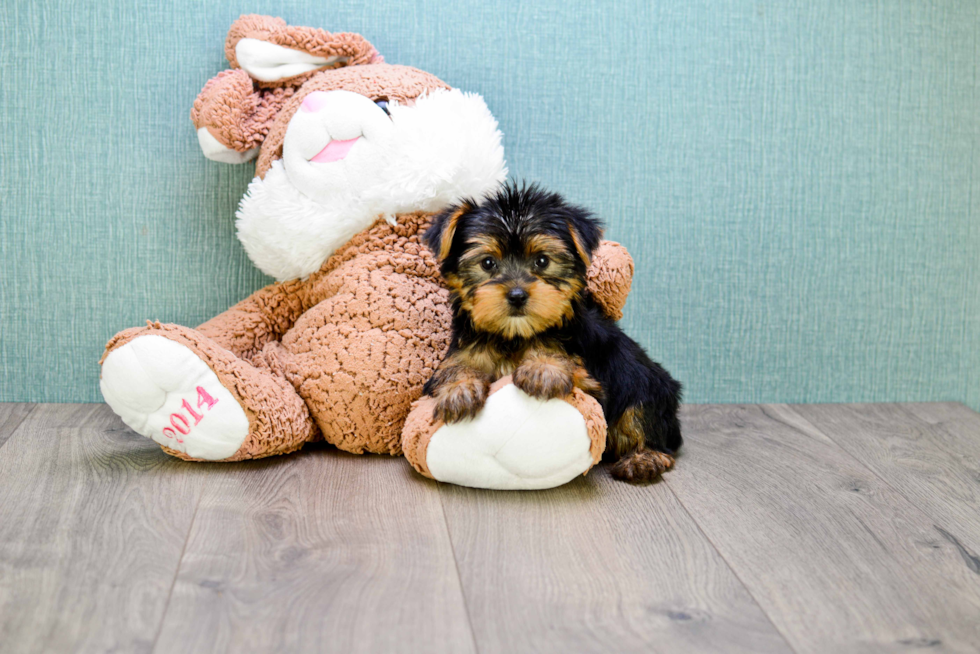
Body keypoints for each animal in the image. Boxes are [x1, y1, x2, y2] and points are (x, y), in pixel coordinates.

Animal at [422, 182, 680, 484]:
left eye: (542, 261)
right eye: (487, 263)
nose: (517, 295)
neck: (515, 336)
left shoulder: (591, 380)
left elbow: (562, 358)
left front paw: (543, 367)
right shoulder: (464, 349)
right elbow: (455, 366)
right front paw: (458, 389)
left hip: (646, 383)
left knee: (642, 415)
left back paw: (644, 459)